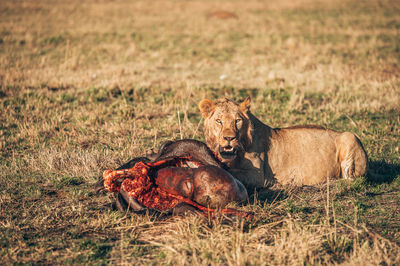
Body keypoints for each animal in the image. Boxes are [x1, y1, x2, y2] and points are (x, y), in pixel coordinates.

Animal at [200, 96, 368, 188]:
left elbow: (233, 173)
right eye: (219, 121)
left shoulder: (258, 176)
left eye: (237, 121)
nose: (229, 138)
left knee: (350, 178)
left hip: (350, 136)